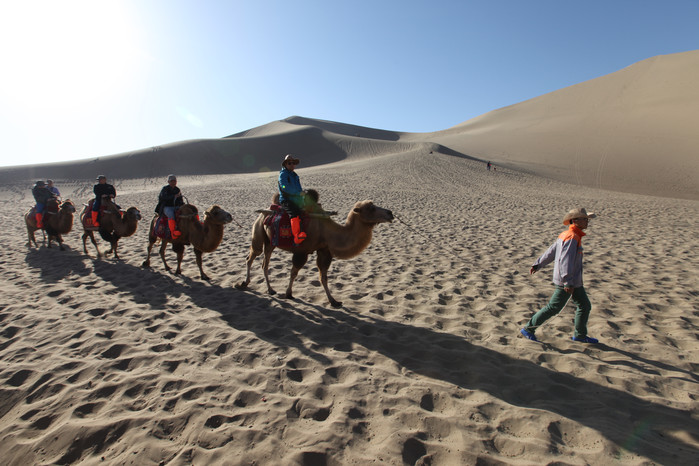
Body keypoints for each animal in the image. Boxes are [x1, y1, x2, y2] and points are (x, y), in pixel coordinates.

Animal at [237, 198, 394, 308]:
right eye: (371, 208)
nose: (390, 213)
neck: (327, 232)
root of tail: (264, 212)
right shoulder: (302, 252)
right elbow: (293, 273)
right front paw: (288, 294)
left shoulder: (324, 251)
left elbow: (323, 277)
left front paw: (334, 301)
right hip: (258, 233)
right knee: (251, 257)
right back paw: (244, 283)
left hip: (270, 242)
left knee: (265, 263)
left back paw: (270, 289)